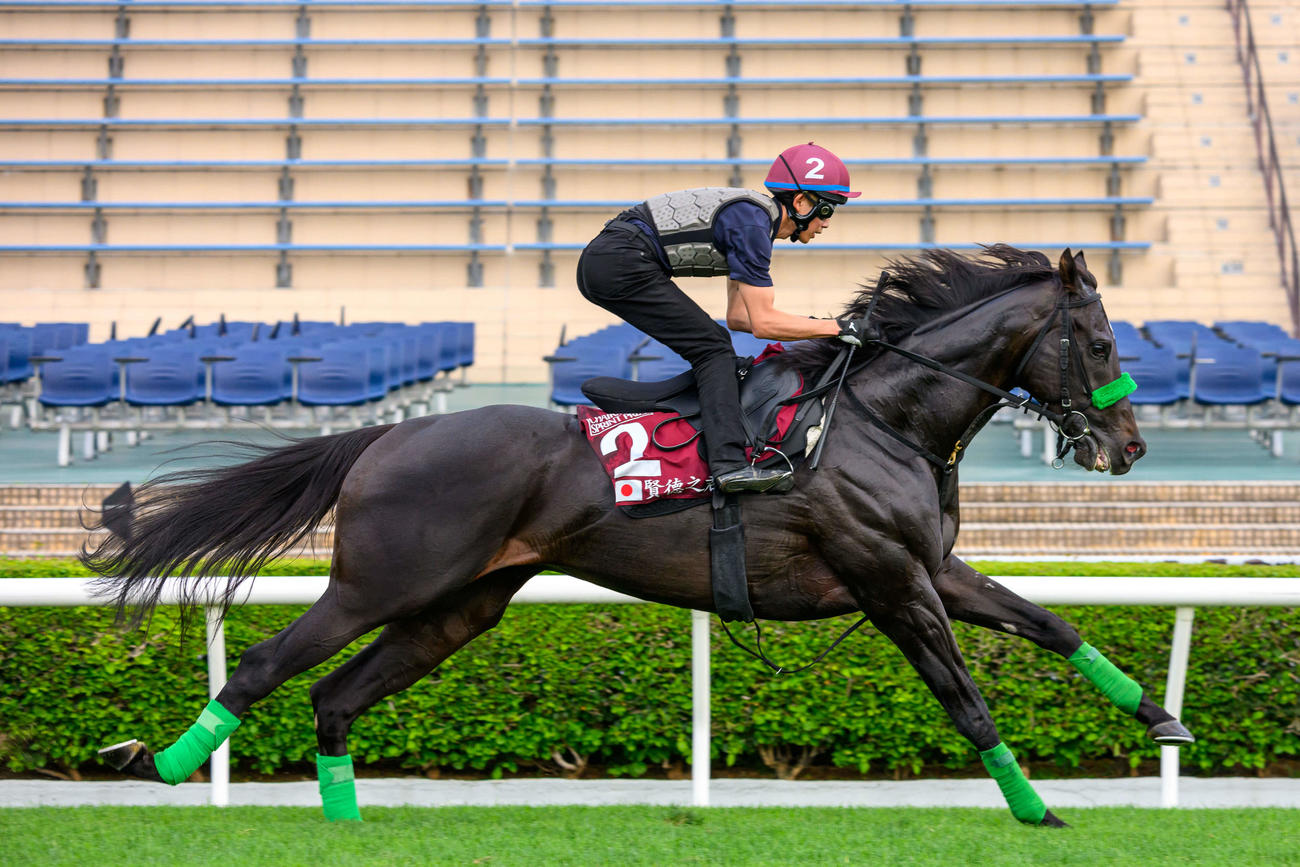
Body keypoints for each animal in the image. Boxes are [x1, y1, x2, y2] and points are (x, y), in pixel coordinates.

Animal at [85, 246, 1193, 826]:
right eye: (1100, 342)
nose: (1128, 447)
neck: (883, 415)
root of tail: (390, 433)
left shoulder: (932, 567)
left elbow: (1051, 625)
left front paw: (1163, 719)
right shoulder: (890, 582)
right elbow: (964, 698)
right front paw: (1035, 808)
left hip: (459, 606)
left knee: (334, 693)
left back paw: (344, 825)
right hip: (382, 582)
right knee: (267, 663)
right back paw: (160, 765)